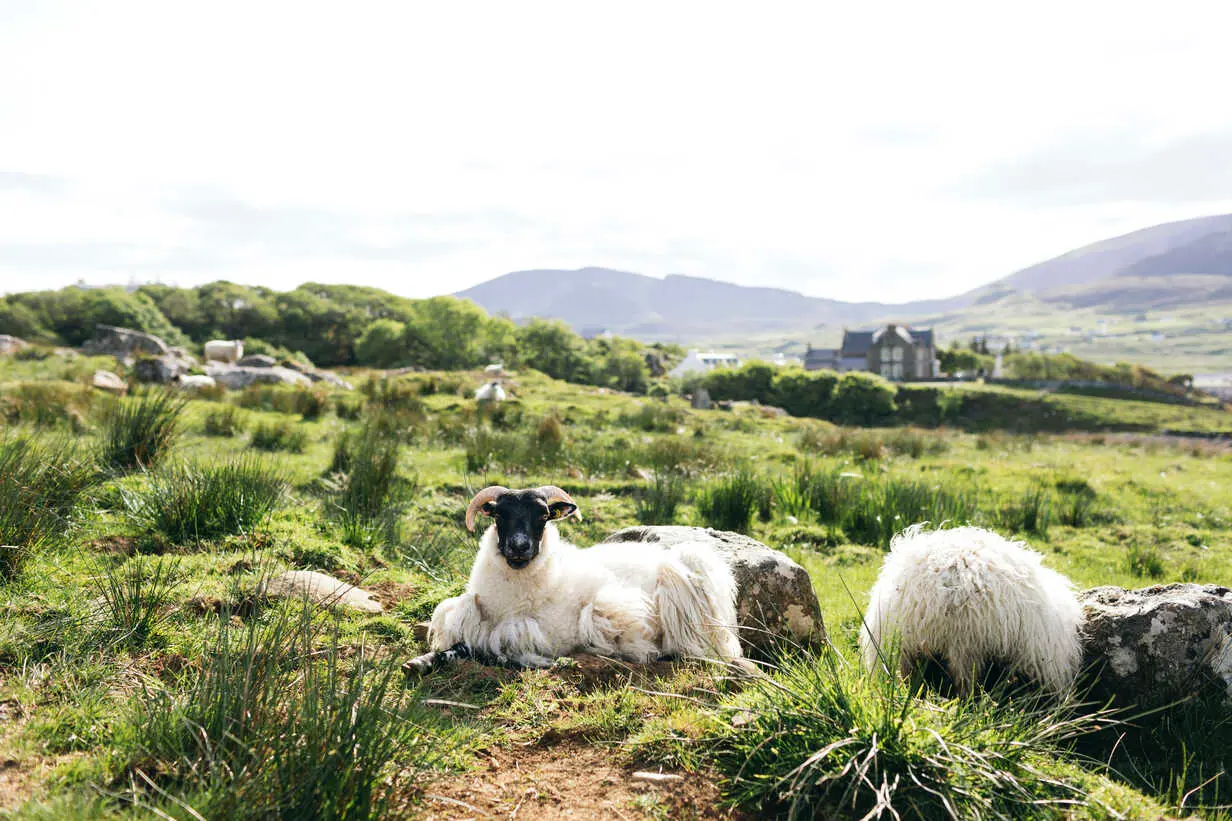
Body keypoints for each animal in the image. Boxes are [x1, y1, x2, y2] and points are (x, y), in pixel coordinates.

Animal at [418, 483, 734, 670]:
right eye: (498, 516)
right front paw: (424, 661)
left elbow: (489, 648)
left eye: (543, 516)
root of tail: (675, 558)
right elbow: (461, 643)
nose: (519, 546)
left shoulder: (545, 634)